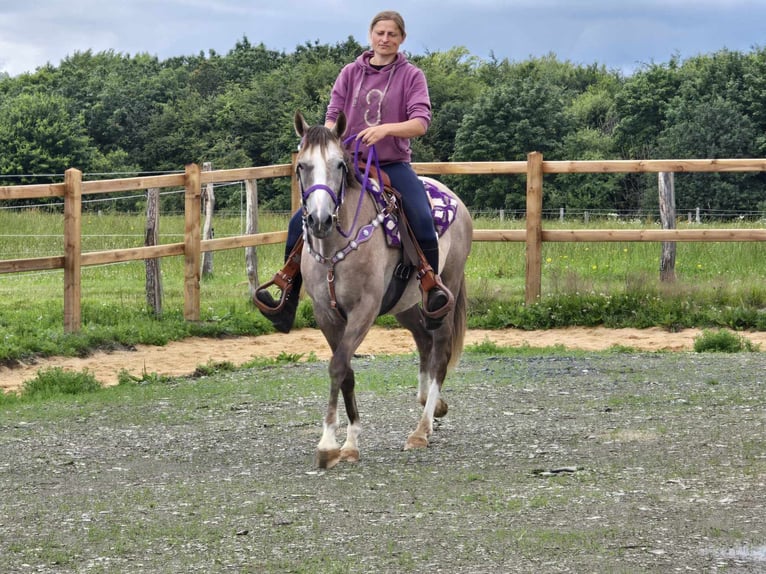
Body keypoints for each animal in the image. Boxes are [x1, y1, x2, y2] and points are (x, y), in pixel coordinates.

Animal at [294, 110, 474, 470]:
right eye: (301, 165)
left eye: (339, 164)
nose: (320, 219)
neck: (336, 249)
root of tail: (454, 199)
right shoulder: (326, 314)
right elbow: (346, 371)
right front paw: (349, 443)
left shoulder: (363, 310)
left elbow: (338, 365)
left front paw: (328, 444)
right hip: (405, 306)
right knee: (424, 342)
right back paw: (431, 407)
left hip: (444, 292)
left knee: (440, 351)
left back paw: (421, 430)